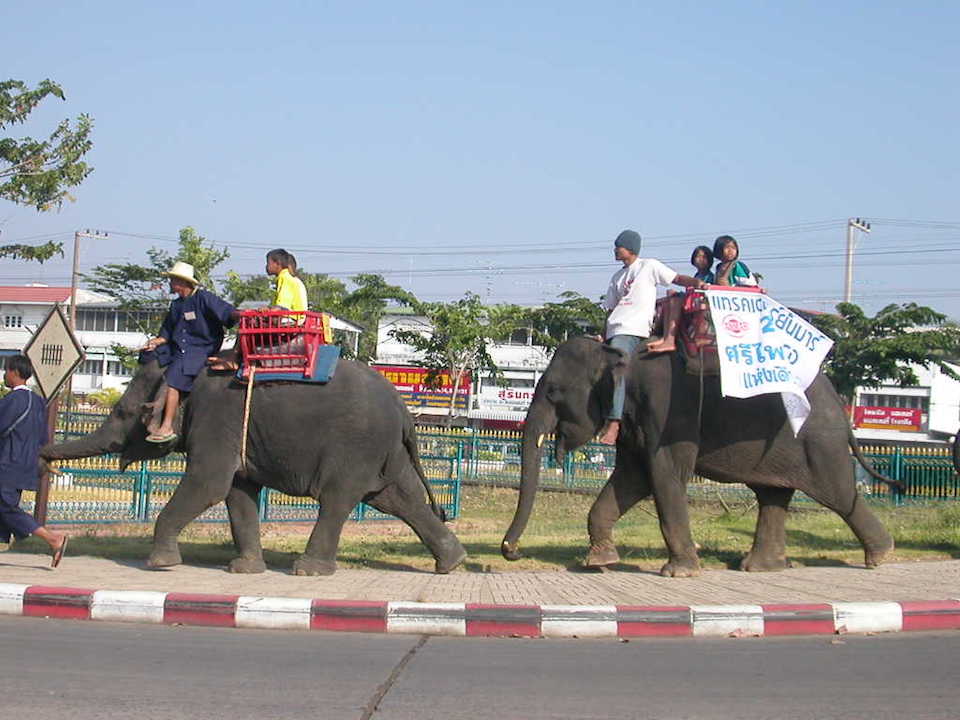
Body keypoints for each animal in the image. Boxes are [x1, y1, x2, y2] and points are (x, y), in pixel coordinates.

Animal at [44, 356, 464, 580]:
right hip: (384, 452)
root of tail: (405, 412)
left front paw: (160, 564)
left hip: (356, 447)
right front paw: (243, 570)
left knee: (337, 500)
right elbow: (237, 492)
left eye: (124, 413)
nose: (44, 461)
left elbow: (208, 483)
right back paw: (451, 563)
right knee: (400, 499)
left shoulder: (217, 419)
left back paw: (307, 570)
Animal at [502, 338, 900, 580]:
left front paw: (678, 572)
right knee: (772, 496)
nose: (512, 552)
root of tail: (840, 405)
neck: (615, 353)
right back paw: (758, 568)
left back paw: (880, 557)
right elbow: (632, 478)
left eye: (553, 391)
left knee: (838, 494)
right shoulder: (636, 422)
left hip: (817, 443)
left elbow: (664, 477)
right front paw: (600, 563)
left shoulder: (667, 413)